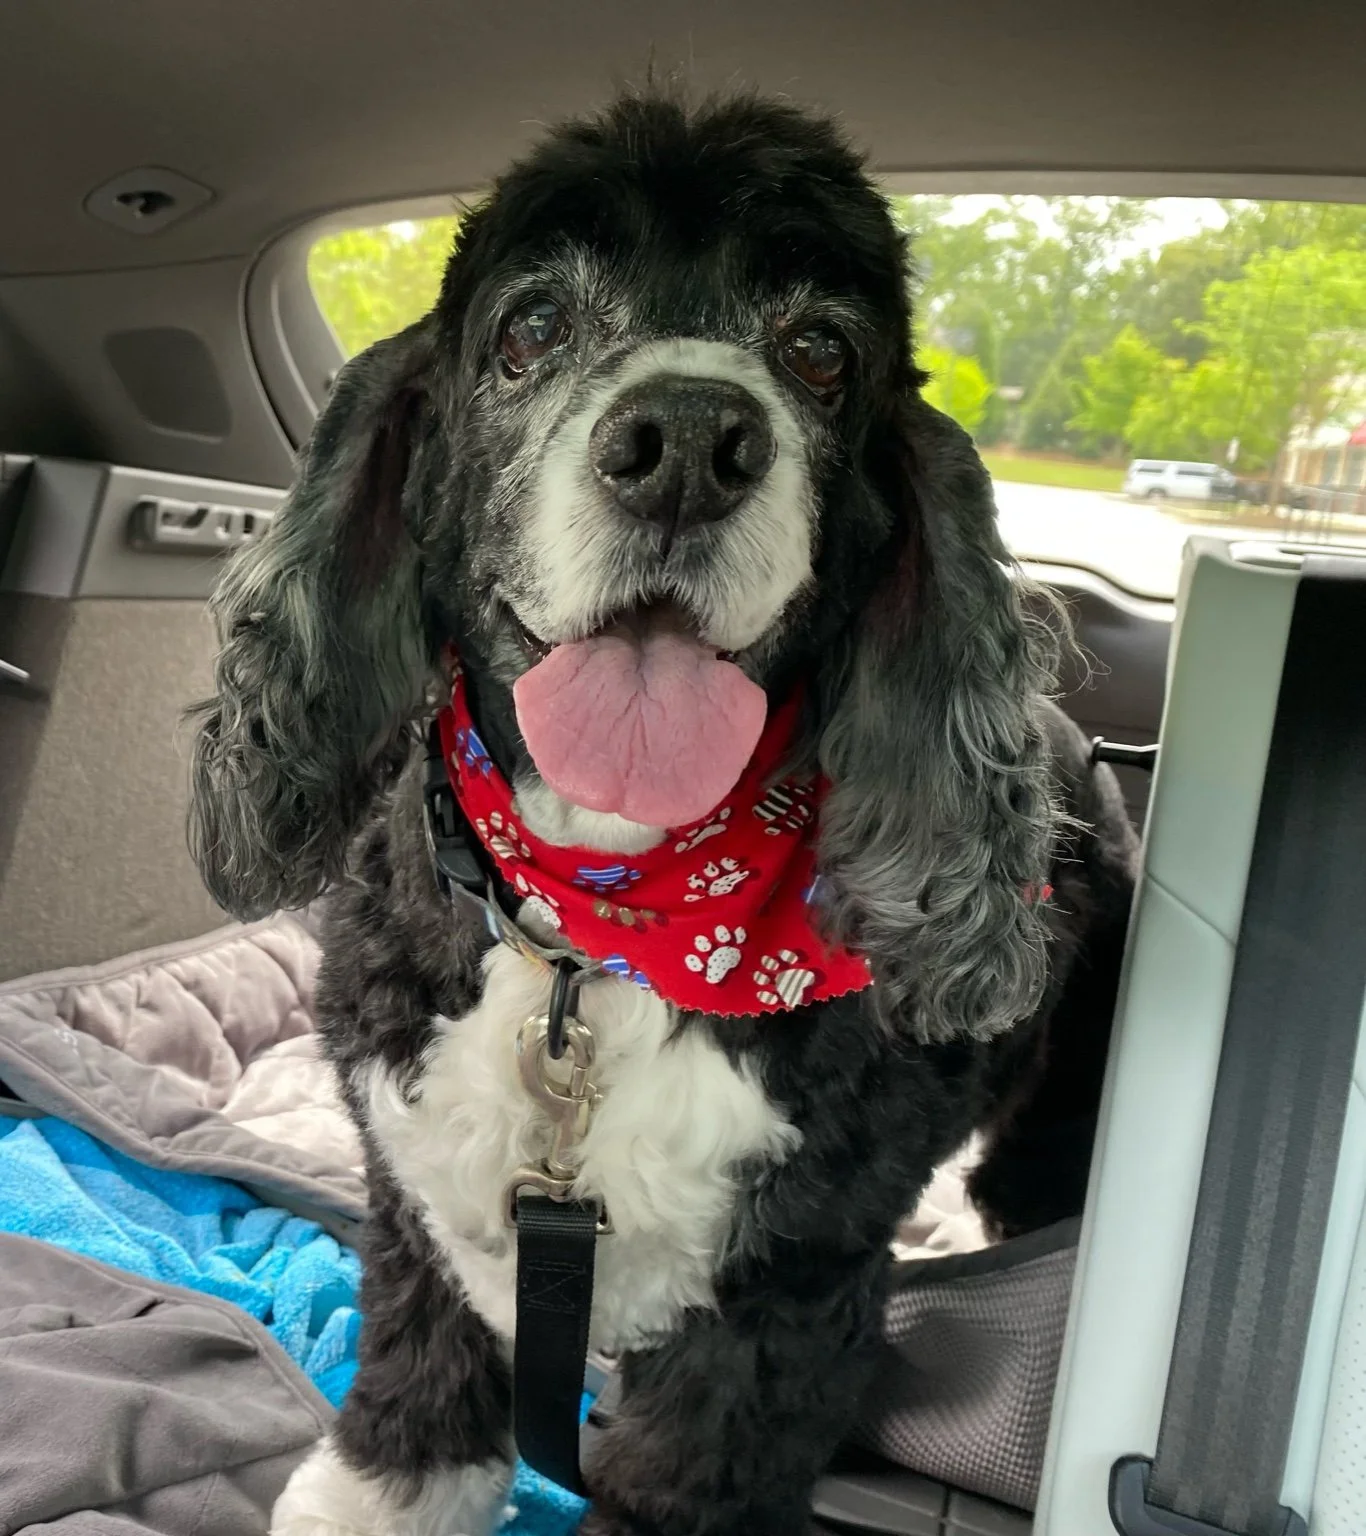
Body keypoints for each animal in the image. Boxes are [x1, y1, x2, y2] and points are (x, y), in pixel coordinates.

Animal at [188, 91, 1138, 1536]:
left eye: (819, 350)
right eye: (529, 328)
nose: (687, 442)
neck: (604, 922)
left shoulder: (779, 1301)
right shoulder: (426, 1204)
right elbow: (418, 1408)